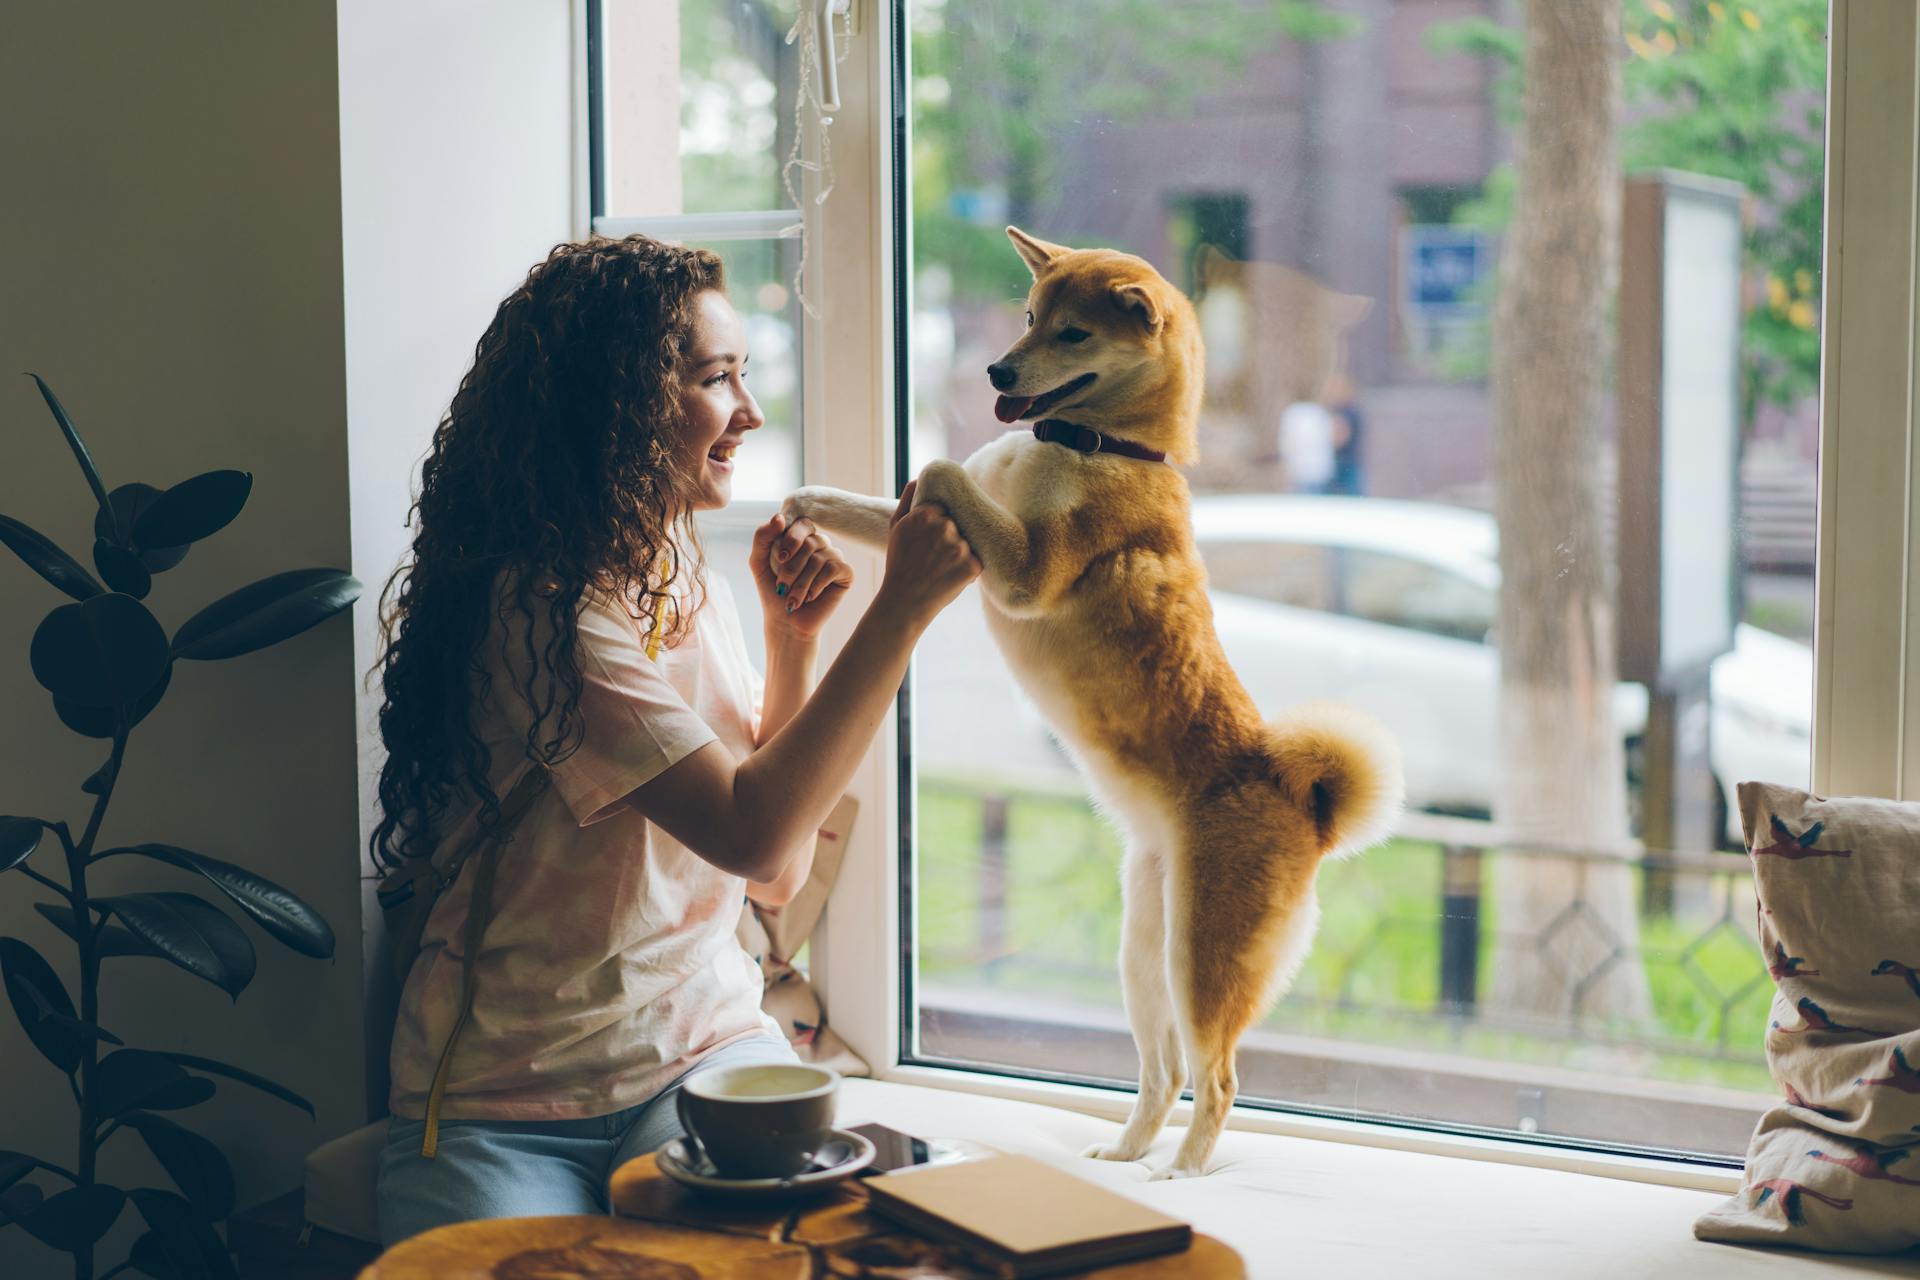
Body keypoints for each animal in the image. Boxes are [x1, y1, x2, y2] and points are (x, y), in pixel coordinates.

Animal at [779, 230, 1397, 1182]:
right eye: (1031, 315)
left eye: (1073, 334)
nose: (996, 370)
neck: (1104, 445)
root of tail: (1308, 804)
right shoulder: (964, 536)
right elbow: (888, 501)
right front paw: (812, 500)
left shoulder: (1024, 571)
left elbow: (938, 467)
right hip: (1144, 952)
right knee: (1165, 1071)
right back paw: (1124, 1152)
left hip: (1202, 960)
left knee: (1217, 1078)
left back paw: (1181, 1172)